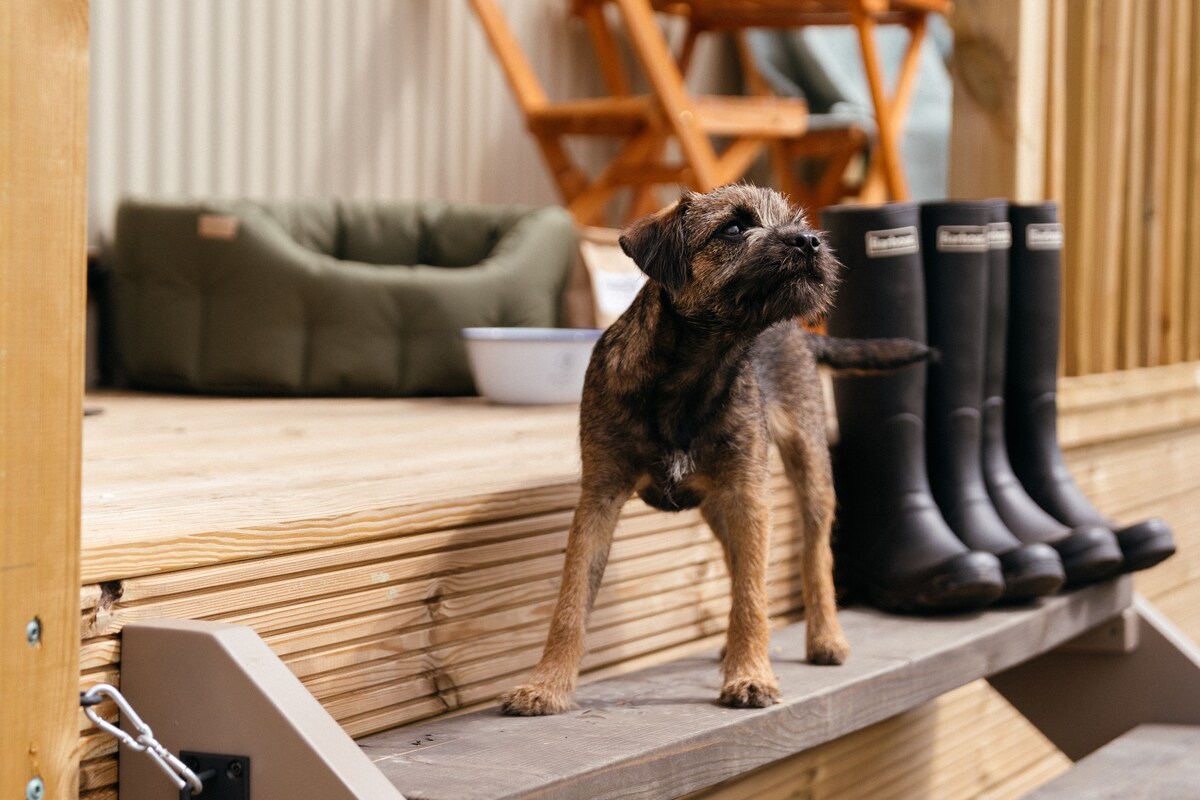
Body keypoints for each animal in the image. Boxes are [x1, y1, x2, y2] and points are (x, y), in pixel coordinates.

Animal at [496, 185, 926, 714]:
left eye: (795, 221)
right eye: (734, 229)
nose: (808, 241)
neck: (693, 375)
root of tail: (800, 333)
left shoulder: (749, 493)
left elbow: (752, 592)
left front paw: (750, 674)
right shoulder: (599, 497)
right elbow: (571, 600)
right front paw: (547, 684)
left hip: (806, 469)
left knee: (812, 555)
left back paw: (825, 637)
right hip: (722, 502)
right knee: (740, 562)